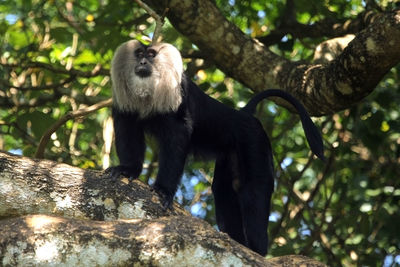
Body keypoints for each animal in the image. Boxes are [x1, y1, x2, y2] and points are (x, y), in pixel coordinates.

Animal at [104, 39, 324, 255]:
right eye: (139, 54)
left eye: (151, 55)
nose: (143, 63)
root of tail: (243, 115)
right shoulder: (126, 110)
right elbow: (128, 134)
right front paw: (127, 170)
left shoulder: (177, 104)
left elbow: (177, 140)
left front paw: (163, 191)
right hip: (230, 157)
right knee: (224, 191)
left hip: (255, 144)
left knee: (254, 191)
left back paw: (256, 249)